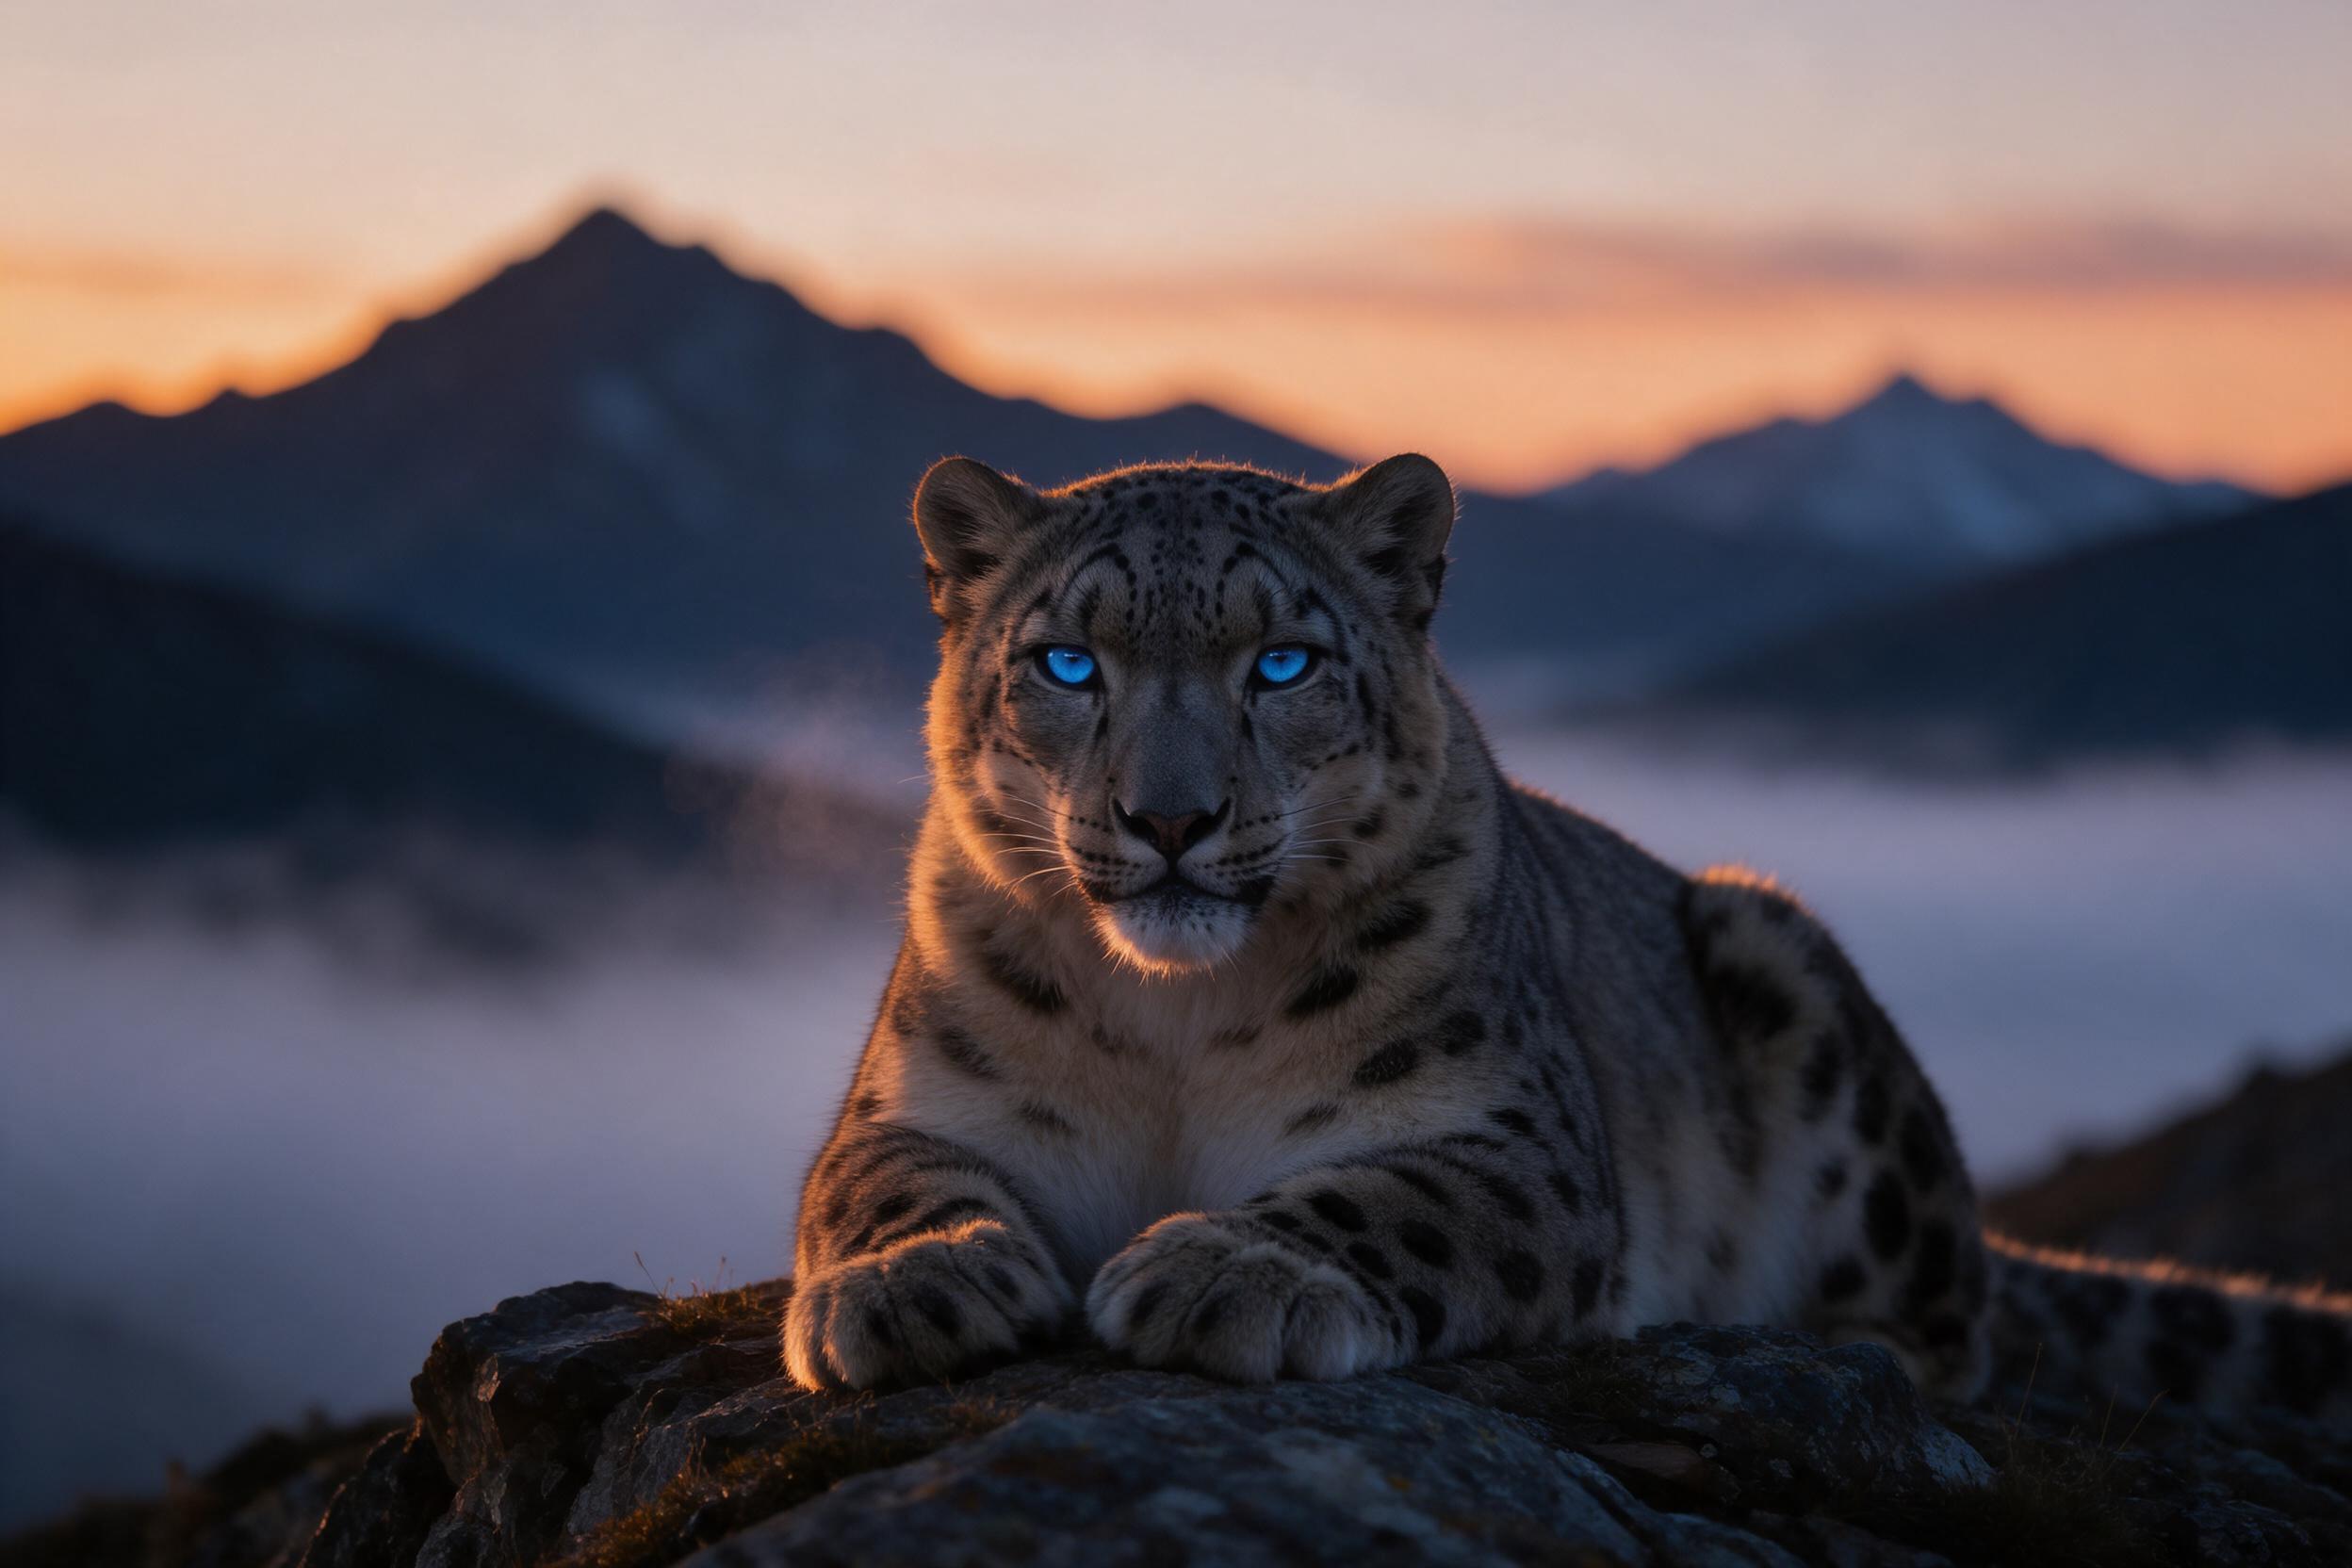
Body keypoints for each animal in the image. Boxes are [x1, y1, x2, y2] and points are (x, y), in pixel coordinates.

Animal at [783, 451, 2352, 1421]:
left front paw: (1224, 1272)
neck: (1176, 1022)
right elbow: (875, 1181)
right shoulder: (918, 1096)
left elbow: (1385, 1197)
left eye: (1281, 661)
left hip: (1791, 978)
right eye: (1067, 661)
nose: (1171, 818)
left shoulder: (1508, 1136)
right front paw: (917, 1282)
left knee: (1955, 1328)